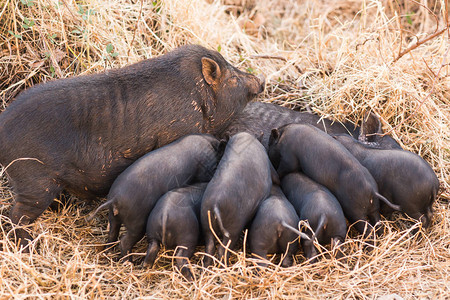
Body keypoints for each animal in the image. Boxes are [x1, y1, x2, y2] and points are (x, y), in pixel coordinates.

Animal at [0, 44, 264, 246]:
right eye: (232, 78)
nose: (259, 79)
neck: (200, 99)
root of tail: (3, 127)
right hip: (34, 178)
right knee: (16, 214)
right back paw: (28, 244)